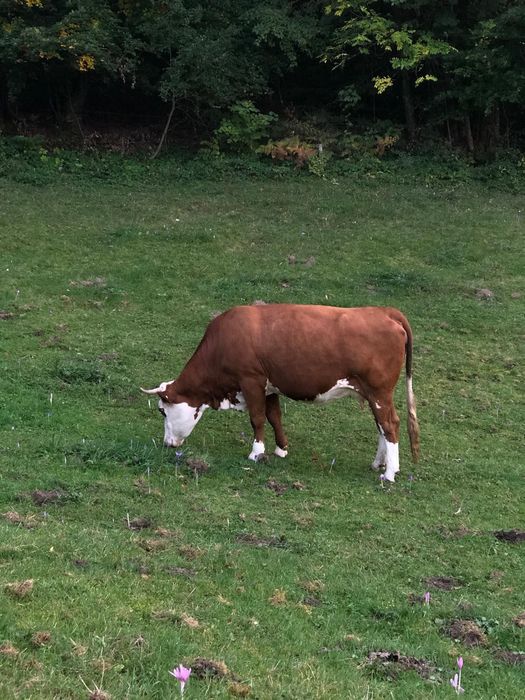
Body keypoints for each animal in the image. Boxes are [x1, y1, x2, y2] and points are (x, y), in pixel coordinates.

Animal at [141, 304, 420, 482]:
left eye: (162, 412)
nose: (167, 444)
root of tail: (385, 312)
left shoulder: (251, 380)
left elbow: (257, 419)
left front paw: (256, 453)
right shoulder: (268, 386)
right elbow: (274, 416)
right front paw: (281, 449)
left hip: (379, 392)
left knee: (390, 425)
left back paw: (389, 473)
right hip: (375, 395)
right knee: (382, 426)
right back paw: (379, 463)